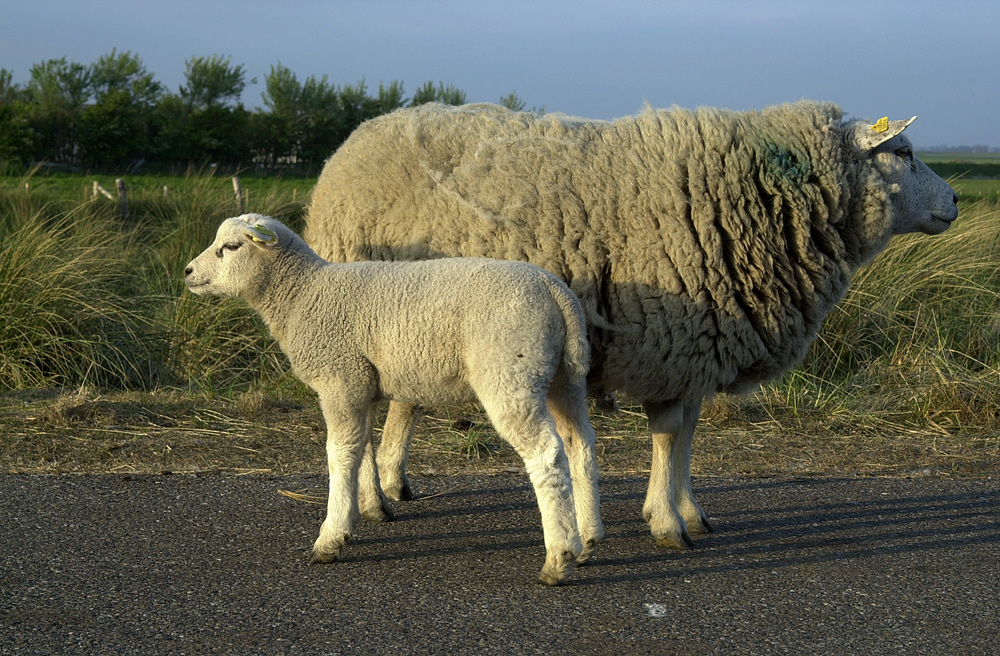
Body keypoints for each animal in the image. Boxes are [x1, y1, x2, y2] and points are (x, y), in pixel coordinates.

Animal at [185, 214, 604, 584]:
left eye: (231, 247)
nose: (187, 272)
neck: (302, 294)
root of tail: (556, 291)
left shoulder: (340, 377)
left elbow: (340, 454)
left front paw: (332, 536)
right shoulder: (362, 383)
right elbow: (363, 447)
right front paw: (373, 507)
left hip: (509, 370)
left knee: (547, 454)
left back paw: (559, 558)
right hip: (564, 377)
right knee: (580, 444)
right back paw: (588, 538)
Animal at [300, 100, 956, 548]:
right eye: (902, 153)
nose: (953, 203)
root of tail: (354, 142)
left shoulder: (695, 350)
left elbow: (687, 438)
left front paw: (687, 511)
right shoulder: (674, 341)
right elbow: (669, 436)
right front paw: (668, 523)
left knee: (397, 405)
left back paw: (387, 490)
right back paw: (369, 500)